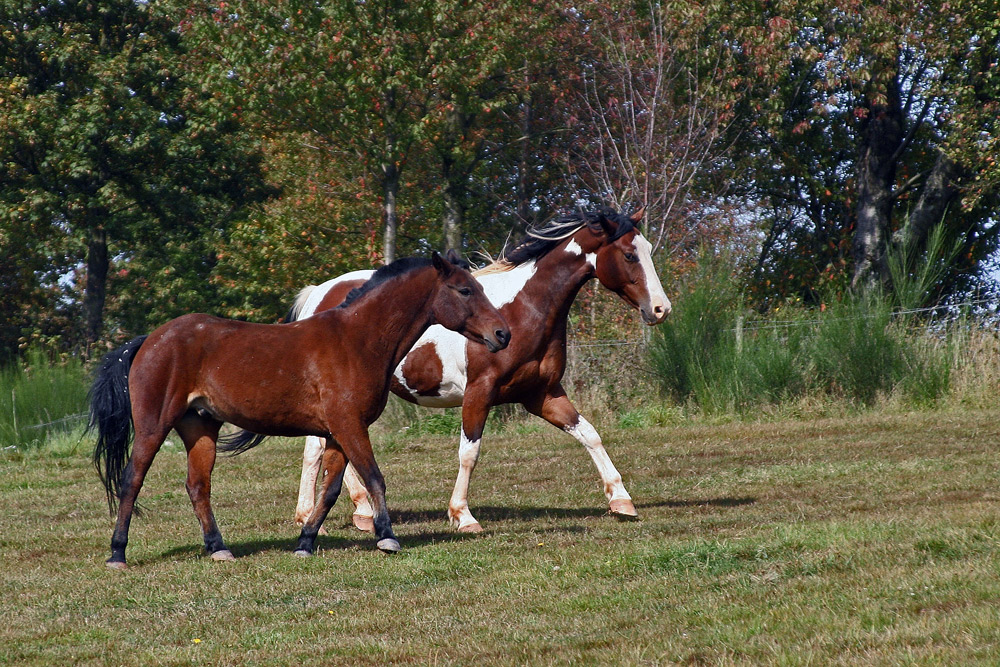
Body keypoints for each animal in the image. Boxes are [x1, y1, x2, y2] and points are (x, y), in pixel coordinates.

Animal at [88, 253, 508, 572]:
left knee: (198, 486)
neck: (356, 341)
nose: (502, 334)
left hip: (200, 427)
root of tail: (150, 339)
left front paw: (305, 542)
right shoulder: (349, 426)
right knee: (132, 479)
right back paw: (118, 553)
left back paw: (218, 548)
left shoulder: (337, 432)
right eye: (466, 289)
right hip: (154, 426)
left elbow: (332, 489)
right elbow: (374, 477)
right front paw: (386, 537)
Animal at [282, 207, 672, 532]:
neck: (523, 309)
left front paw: (621, 500)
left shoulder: (543, 395)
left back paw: (359, 512)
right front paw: (463, 516)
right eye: (629, 254)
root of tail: (319, 292)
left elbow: (590, 434)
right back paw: (314, 516)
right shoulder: (479, 392)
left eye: (648, 248)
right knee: (315, 450)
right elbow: (469, 453)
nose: (660, 309)